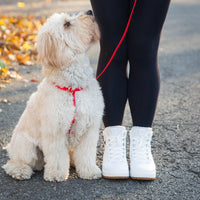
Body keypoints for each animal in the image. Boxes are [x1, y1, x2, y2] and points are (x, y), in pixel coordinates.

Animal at [2, 10, 104, 182]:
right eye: (67, 24)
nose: (90, 11)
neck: (72, 87)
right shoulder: (55, 130)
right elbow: (57, 156)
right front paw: (56, 174)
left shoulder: (89, 129)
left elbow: (86, 154)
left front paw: (89, 171)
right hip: (26, 146)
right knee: (14, 163)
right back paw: (20, 170)